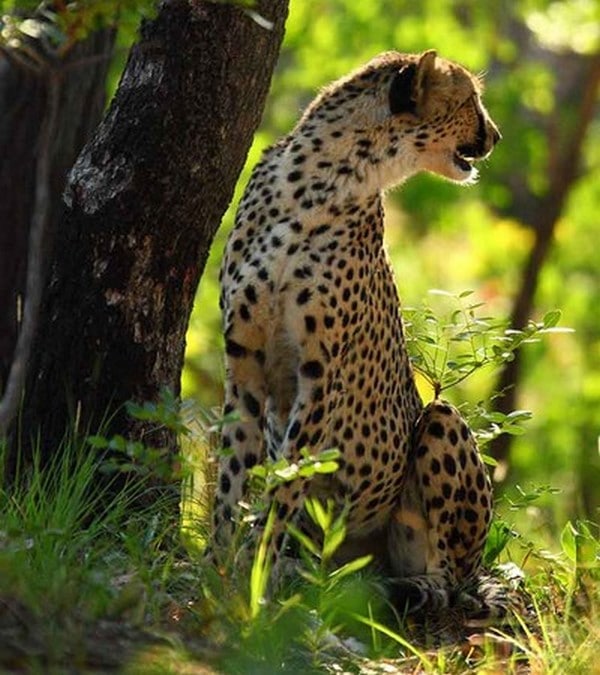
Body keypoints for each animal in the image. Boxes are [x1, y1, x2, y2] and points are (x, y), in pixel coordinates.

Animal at [213, 50, 500, 612]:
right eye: (470, 101)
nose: (496, 136)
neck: (326, 175)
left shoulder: (321, 375)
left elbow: (286, 481)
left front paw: (256, 582)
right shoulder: (244, 363)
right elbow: (231, 477)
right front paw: (212, 569)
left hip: (439, 421)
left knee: (453, 582)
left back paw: (414, 585)